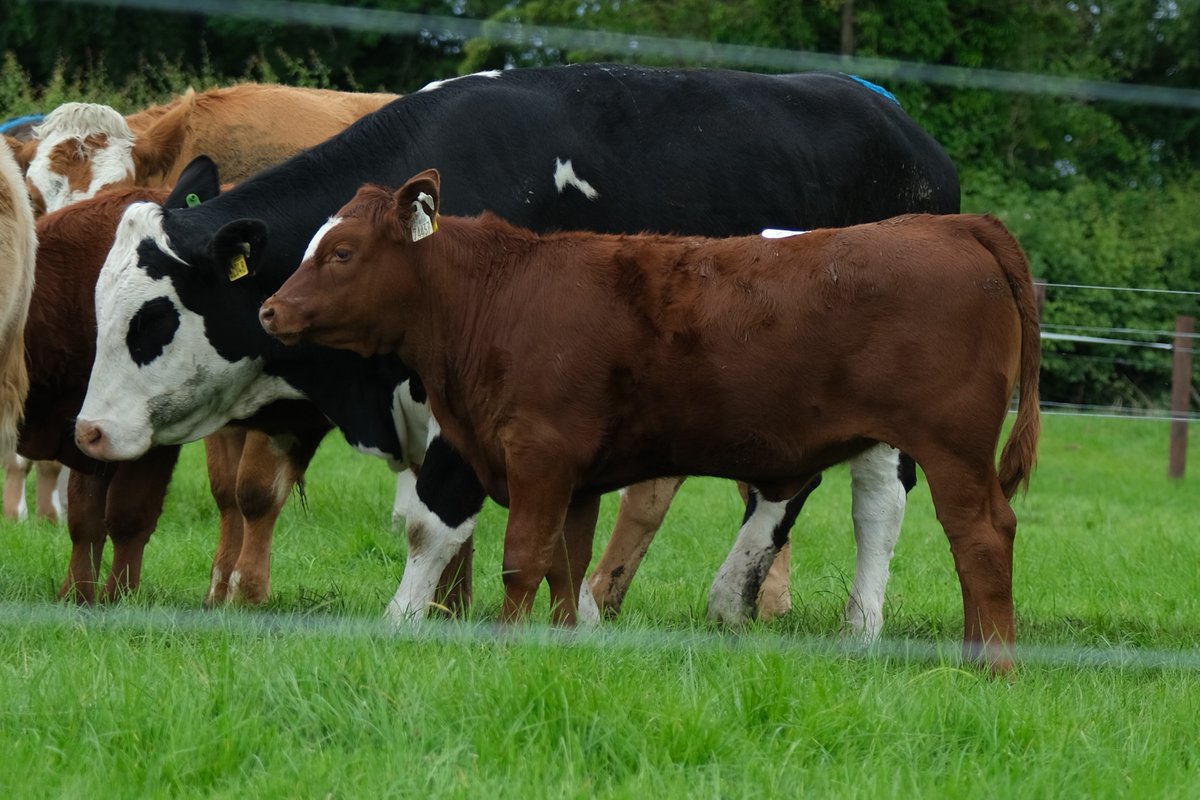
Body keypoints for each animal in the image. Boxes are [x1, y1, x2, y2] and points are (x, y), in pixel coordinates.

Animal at [22, 184, 333, 605]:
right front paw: (76, 596)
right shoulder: (94, 429)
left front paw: (120, 597)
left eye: (149, 321)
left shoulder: (144, 433)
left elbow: (129, 513)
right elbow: (84, 517)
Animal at [74, 65, 960, 633]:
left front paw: (407, 618)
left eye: (151, 320)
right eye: (98, 309)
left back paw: (857, 621)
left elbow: (433, 519)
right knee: (784, 485)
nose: (89, 431)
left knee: (877, 498)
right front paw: (473, 612)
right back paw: (730, 601)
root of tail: (907, 131)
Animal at [259, 171, 1041, 672]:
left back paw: (993, 666)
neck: (503, 295)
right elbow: (566, 568)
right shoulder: (574, 478)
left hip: (951, 447)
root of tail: (951, 226)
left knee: (981, 536)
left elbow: (523, 561)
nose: (269, 309)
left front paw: (507, 649)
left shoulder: (538, 455)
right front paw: (559, 649)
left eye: (342, 252)